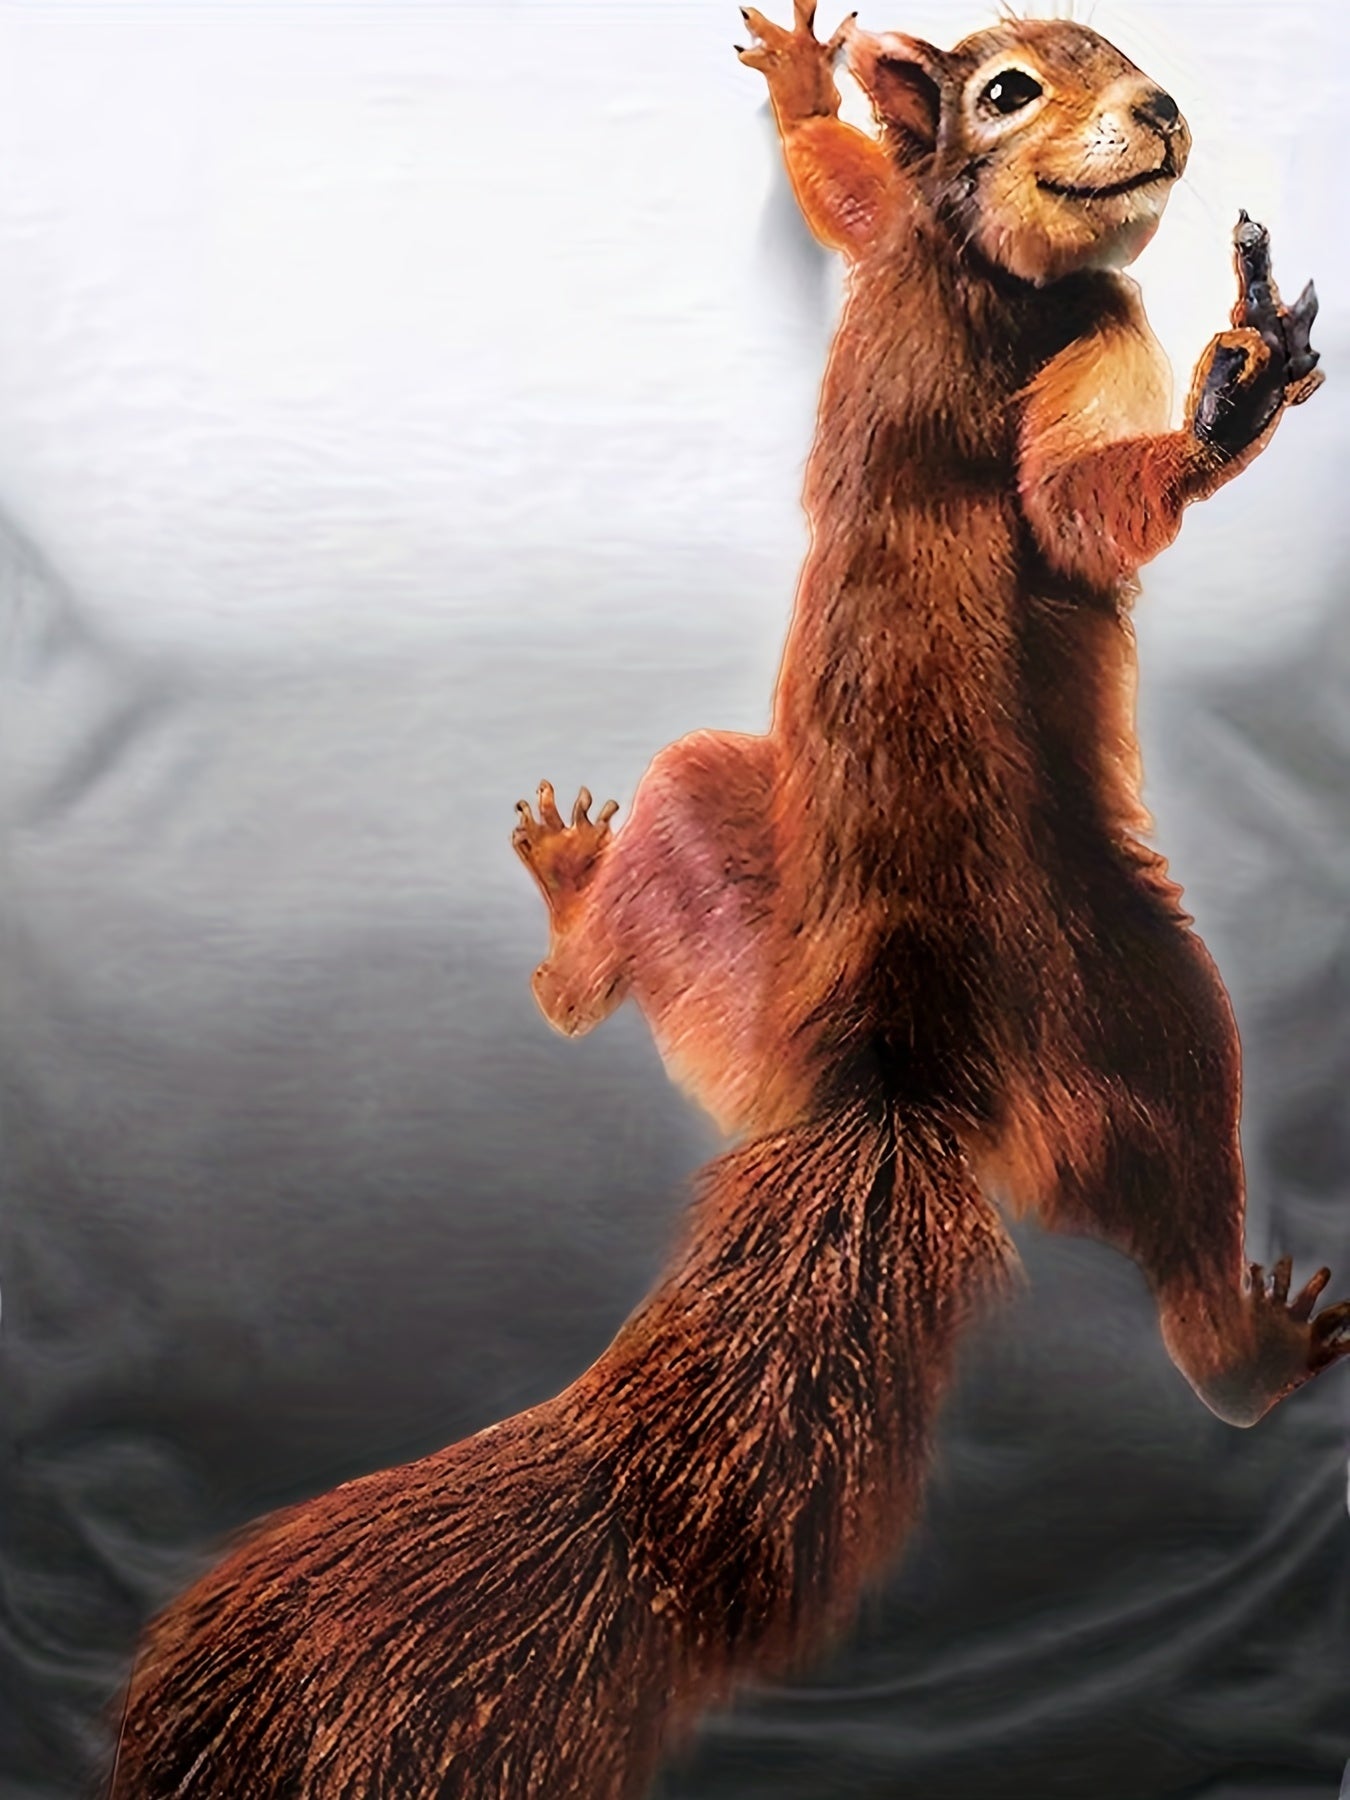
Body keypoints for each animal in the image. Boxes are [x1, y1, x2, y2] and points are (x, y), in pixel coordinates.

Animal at [109, 9, 1347, 1799]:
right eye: (1007, 87)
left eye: (1116, 48)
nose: (1166, 106)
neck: (966, 269)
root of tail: (885, 1075)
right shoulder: (1072, 327)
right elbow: (1055, 481)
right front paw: (1230, 385)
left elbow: (863, 221)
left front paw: (810, 89)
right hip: (1139, 1000)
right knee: (1185, 1169)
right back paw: (1249, 1352)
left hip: (728, 957)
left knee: (607, 976)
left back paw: (571, 918)